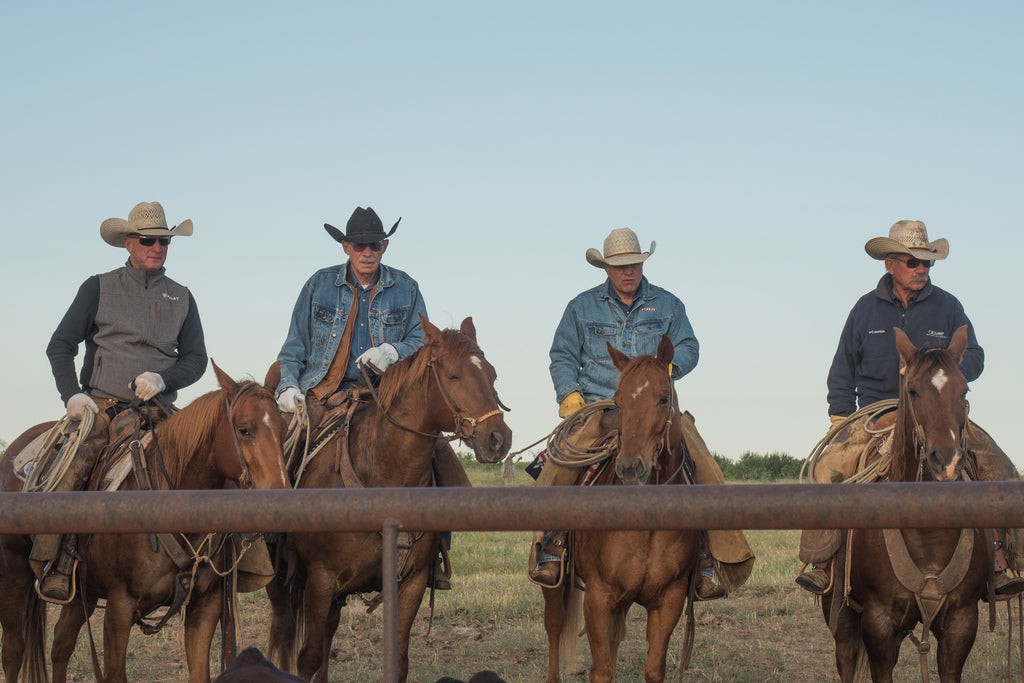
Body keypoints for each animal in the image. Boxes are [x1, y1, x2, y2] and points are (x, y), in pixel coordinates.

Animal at [0, 362, 292, 683]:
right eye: (244, 429)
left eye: (284, 429)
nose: (281, 499)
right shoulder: (119, 609)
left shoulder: (206, 606)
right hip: (14, 573)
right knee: (13, 651)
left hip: (80, 593)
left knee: (61, 646)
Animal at [264, 317, 512, 683]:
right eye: (453, 375)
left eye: (492, 375)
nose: (498, 438)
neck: (382, 474)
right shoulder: (321, 580)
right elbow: (307, 658)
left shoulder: (411, 583)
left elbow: (398, 660)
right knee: (286, 634)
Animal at [544, 335, 704, 683]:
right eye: (618, 402)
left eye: (663, 398)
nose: (631, 466)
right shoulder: (599, 596)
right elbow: (602, 670)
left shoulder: (669, 599)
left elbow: (653, 668)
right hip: (555, 580)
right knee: (554, 625)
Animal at [819, 327, 987, 683]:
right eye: (913, 390)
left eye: (964, 389)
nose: (946, 461)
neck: (929, 536)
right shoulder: (879, 622)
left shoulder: (962, 622)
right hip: (842, 615)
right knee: (846, 658)